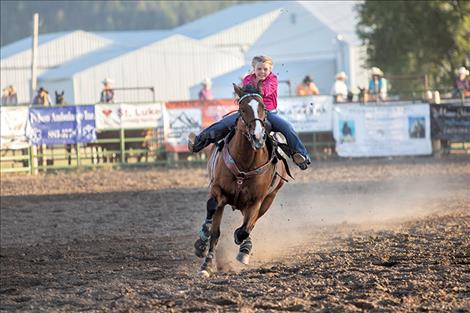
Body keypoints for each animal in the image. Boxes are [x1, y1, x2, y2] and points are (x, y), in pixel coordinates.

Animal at [194, 83, 286, 276]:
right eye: (242, 109)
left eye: (263, 108)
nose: (258, 136)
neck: (245, 163)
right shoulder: (218, 191)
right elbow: (213, 225)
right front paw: (205, 260)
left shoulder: (256, 201)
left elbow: (244, 230)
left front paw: (243, 246)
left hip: (269, 198)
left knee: (251, 224)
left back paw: (245, 248)